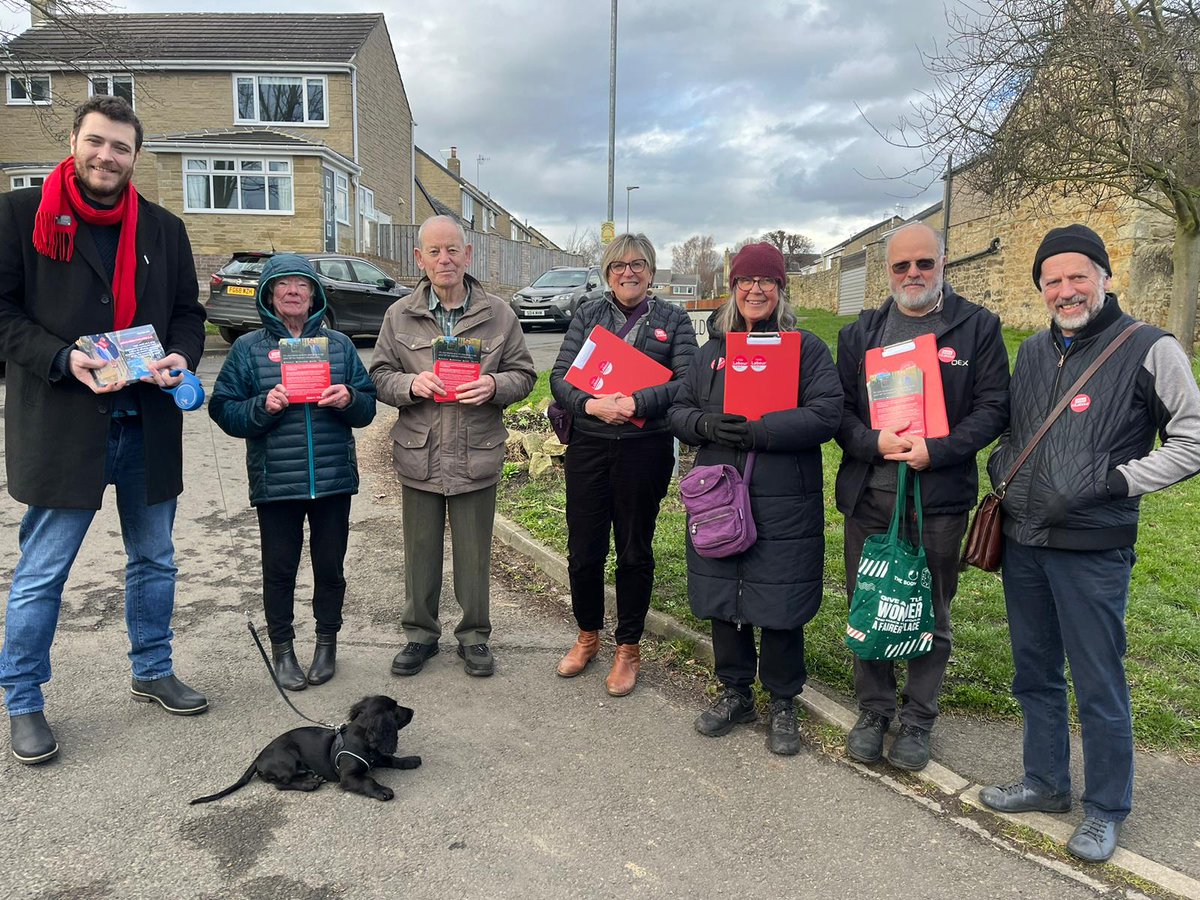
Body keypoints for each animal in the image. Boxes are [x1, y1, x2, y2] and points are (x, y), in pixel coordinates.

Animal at [192, 696, 422, 806]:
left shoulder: (377, 756)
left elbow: (391, 759)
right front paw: (382, 791)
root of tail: (258, 759)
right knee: (279, 784)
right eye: (396, 709)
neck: (361, 740)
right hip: (286, 759)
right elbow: (368, 780)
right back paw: (308, 783)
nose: (412, 710)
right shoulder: (348, 777)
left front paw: (410, 760)